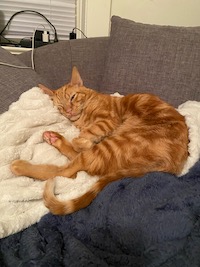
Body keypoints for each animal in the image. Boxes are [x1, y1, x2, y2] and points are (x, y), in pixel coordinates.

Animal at [11, 66, 189, 216]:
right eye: (60, 107)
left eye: (73, 97)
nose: (68, 111)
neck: (82, 118)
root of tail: (169, 168)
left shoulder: (108, 119)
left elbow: (86, 135)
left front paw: (81, 140)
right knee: (74, 165)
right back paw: (54, 139)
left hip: (111, 144)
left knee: (68, 170)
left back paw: (20, 165)